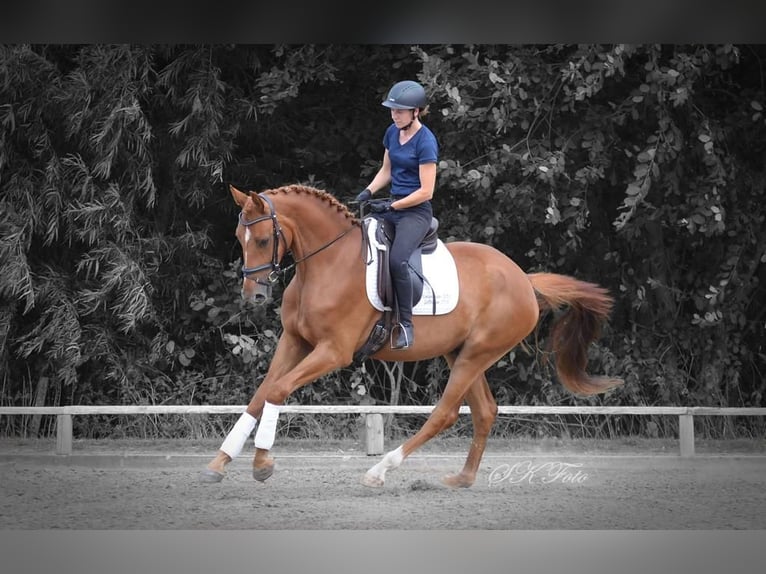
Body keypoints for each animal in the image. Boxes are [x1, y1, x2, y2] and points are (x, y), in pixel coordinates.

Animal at [198, 183, 623, 488]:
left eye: (263, 240)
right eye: (239, 237)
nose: (253, 296)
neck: (325, 264)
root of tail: (523, 278)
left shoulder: (333, 351)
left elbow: (277, 390)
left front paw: (262, 462)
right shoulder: (295, 341)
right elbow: (261, 394)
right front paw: (219, 462)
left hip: (477, 353)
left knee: (446, 413)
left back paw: (380, 472)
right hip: (461, 353)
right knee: (484, 411)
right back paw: (461, 479)